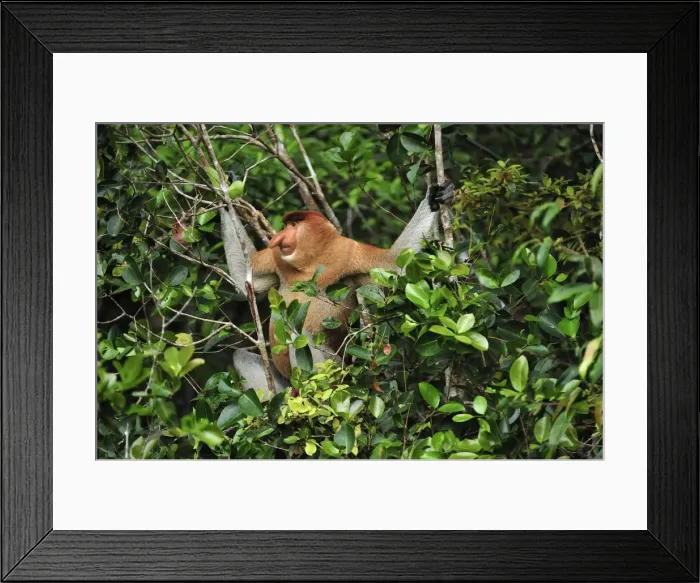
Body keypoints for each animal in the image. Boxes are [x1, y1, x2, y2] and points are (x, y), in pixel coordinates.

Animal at [220, 181, 454, 399]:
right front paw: (225, 192)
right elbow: (248, 283)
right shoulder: (277, 258)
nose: (278, 238)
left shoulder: (349, 251)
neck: (311, 262)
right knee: (240, 356)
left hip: (335, 367)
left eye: (294, 224)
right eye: (286, 225)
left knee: (302, 334)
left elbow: (393, 263)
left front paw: (435, 198)